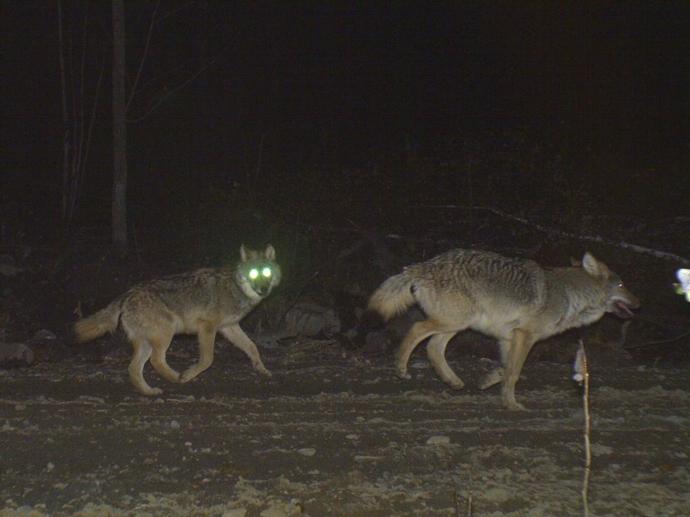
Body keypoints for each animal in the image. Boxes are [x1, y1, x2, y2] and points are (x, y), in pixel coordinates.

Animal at [74, 244, 281, 395]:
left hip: (148, 343)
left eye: (266, 273)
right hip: (166, 334)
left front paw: (262, 369)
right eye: (253, 273)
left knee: (133, 369)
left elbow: (252, 347)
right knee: (156, 361)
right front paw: (189, 374)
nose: (263, 290)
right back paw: (177, 377)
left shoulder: (229, 327)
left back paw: (149, 392)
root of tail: (127, 294)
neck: (235, 288)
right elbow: (207, 359)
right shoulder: (207, 327)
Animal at [367, 249, 639, 410]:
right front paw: (512, 405)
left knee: (434, 348)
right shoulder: (526, 336)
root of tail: (422, 266)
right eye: (622, 285)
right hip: (454, 322)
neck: (569, 294)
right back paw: (401, 369)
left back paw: (453, 381)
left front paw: (488, 382)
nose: (639, 303)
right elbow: (514, 372)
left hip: (458, 325)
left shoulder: (508, 338)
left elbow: (505, 368)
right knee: (416, 330)